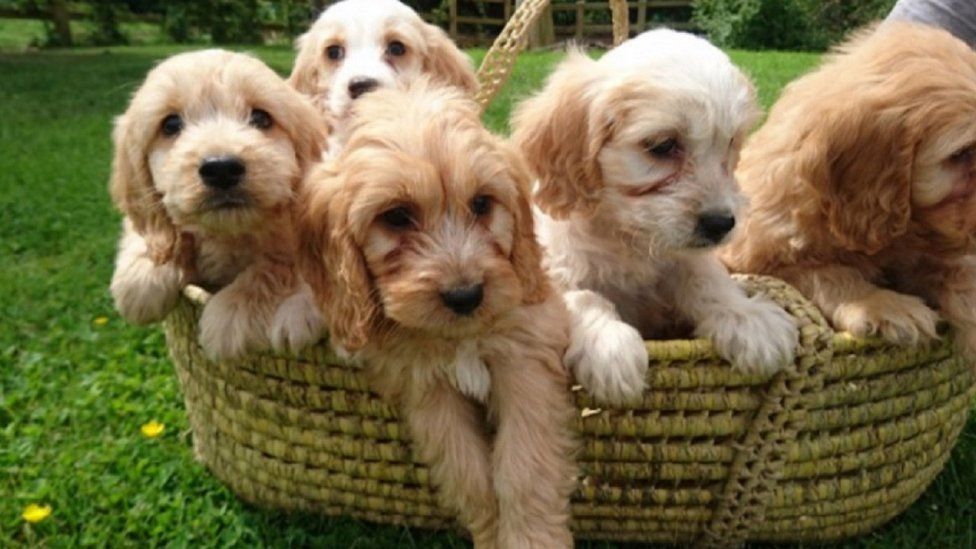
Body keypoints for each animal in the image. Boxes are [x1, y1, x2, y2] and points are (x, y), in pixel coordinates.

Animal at [108, 50, 326, 360]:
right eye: (170, 125)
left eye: (261, 118)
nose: (221, 168)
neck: (228, 234)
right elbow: (149, 230)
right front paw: (143, 275)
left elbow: (271, 267)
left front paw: (230, 312)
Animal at [300, 78, 580, 548]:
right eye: (396, 216)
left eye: (482, 204)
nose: (465, 295)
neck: (459, 339)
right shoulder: (426, 387)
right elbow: (468, 473)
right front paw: (490, 535)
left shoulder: (525, 360)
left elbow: (523, 468)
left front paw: (531, 538)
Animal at [510, 31, 800, 406]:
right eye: (662, 146)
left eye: (730, 145)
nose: (721, 223)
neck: (628, 236)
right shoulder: (554, 268)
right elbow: (584, 297)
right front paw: (610, 348)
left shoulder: (685, 257)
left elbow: (707, 277)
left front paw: (747, 317)